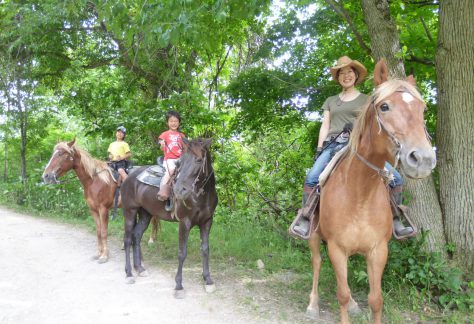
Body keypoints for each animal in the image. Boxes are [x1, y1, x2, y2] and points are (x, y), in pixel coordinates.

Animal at [122, 138, 218, 298]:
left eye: (199, 160)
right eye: (180, 162)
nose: (179, 190)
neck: (200, 196)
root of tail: (130, 175)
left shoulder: (207, 222)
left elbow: (205, 249)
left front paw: (208, 280)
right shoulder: (184, 223)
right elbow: (182, 253)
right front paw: (178, 286)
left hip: (145, 214)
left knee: (136, 236)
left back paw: (140, 268)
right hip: (130, 211)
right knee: (128, 239)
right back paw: (129, 274)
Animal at [306, 59, 436, 322]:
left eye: (423, 109)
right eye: (384, 106)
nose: (423, 159)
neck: (359, 194)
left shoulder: (378, 251)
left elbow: (376, 300)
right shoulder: (336, 248)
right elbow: (342, 294)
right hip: (314, 237)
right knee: (317, 262)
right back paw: (313, 304)